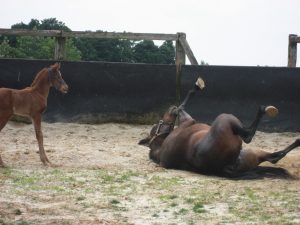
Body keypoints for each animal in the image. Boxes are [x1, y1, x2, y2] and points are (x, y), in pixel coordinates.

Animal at [139, 104, 300, 177]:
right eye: (158, 124)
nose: (172, 107)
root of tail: (225, 167)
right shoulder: (189, 121)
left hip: (253, 154)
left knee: (275, 157)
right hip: (225, 118)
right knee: (248, 136)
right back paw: (262, 111)